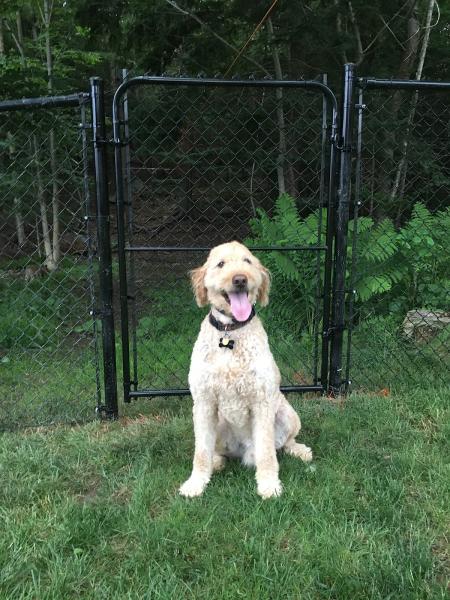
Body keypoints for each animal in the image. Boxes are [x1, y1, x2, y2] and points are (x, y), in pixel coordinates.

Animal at [178, 239, 312, 496]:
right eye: (220, 264)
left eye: (247, 261)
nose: (240, 279)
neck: (230, 335)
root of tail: (243, 451)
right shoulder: (203, 402)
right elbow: (201, 451)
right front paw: (196, 482)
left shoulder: (262, 401)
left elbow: (267, 452)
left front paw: (269, 484)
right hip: (219, 423)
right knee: (216, 451)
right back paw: (217, 462)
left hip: (287, 413)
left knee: (282, 443)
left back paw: (299, 451)